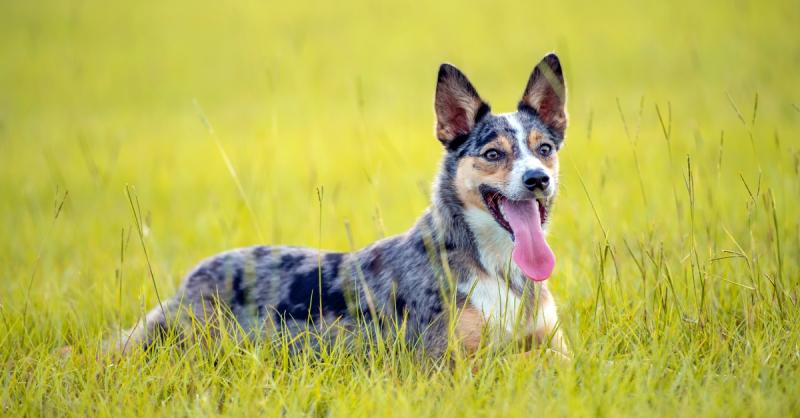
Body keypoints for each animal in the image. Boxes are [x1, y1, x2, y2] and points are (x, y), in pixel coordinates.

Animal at [111, 52, 568, 360]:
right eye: (493, 154)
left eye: (544, 149)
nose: (537, 179)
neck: (499, 268)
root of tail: (189, 282)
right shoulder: (449, 365)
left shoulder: (556, 348)